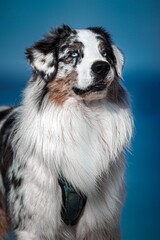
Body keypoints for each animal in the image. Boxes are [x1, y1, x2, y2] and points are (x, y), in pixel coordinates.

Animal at [0, 25, 132, 239]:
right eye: (73, 54)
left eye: (105, 53)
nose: (102, 67)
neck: (85, 117)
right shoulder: (35, 225)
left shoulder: (100, 224)